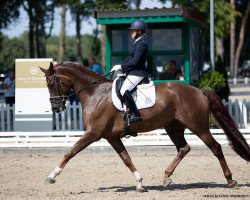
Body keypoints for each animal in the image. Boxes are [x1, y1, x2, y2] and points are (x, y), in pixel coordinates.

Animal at [40, 62, 250, 192]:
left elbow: (70, 152)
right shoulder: (111, 137)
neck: (94, 93)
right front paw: (140, 183)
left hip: (199, 127)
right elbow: (126, 159)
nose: (56, 108)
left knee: (216, 147)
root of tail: (199, 90)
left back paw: (230, 180)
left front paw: (51, 176)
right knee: (184, 148)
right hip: (173, 127)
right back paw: (166, 177)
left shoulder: (93, 133)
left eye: (51, 83)